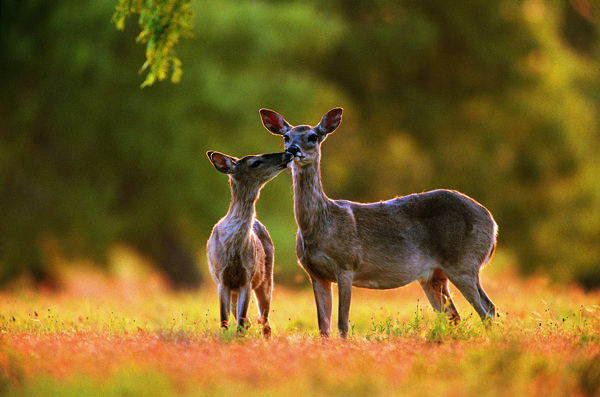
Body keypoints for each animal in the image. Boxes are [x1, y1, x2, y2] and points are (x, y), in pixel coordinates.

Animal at [207, 150, 294, 336]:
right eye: (255, 162)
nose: (288, 153)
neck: (233, 246)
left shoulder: (247, 277)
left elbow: (240, 320)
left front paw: (239, 337)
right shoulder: (221, 278)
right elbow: (224, 319)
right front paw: (225, 336)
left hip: (267, 278)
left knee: (265, 321)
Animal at [260, 107, 500, 338]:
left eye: (312, 136)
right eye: (286, 137)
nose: (292, 150)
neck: (322, 225)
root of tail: (492, 222)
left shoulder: (347, 265)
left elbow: (342, 324)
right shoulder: (316, 274)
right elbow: (323, 328)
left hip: (464, 262)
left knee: (487, 309)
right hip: (434, 275)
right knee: (454, 315)